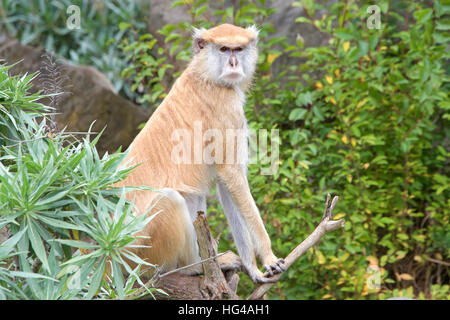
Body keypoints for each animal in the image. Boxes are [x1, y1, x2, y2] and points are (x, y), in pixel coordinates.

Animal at [116, 23, 284, 282]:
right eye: (224, 49)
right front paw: (269, 258)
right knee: (171, 199)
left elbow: (228, 185)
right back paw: (192, 267)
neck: (204, 74)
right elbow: (231, 174)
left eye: (238, 49)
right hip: (140, 252)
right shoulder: (227, 106)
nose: (233, 63)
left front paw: (252, 268)